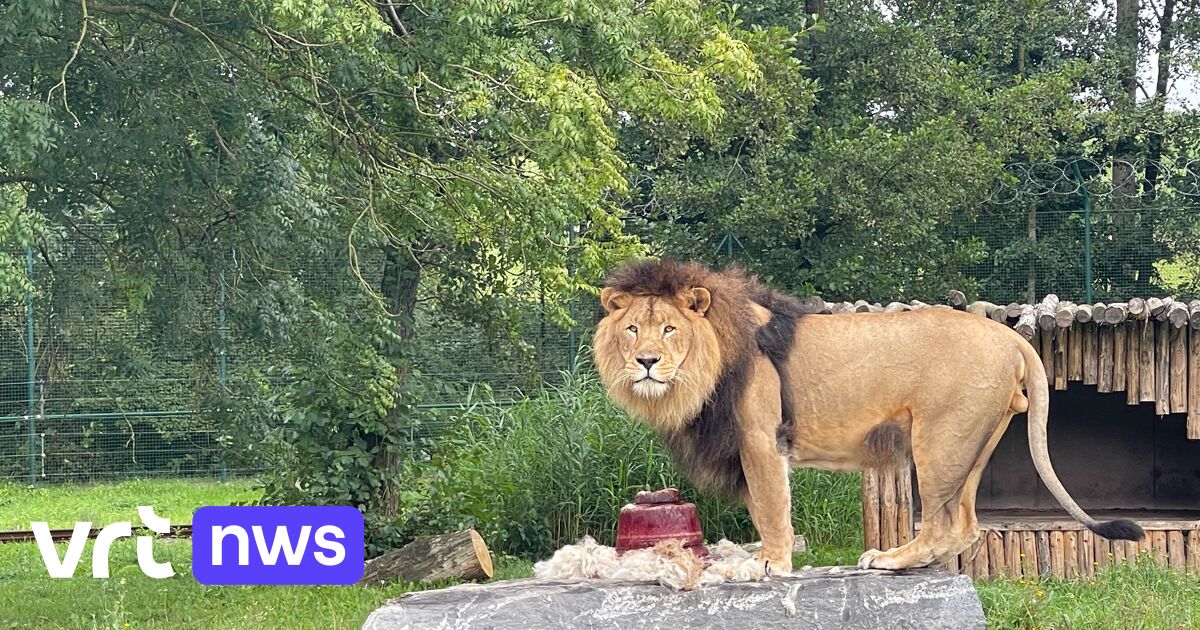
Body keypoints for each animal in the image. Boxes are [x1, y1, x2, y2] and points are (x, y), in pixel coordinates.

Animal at [593, 259, 1145, 574]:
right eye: (632, 329)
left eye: (669, 329)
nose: (645, 361)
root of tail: (1010, 335)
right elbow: (761, 508)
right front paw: (770, 556)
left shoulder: (759, 437)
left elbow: (770, 505)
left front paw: (769, 563)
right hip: (972, 444)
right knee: (965, 525)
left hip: (939, 440)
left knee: (943, 524)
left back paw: (890, 559)